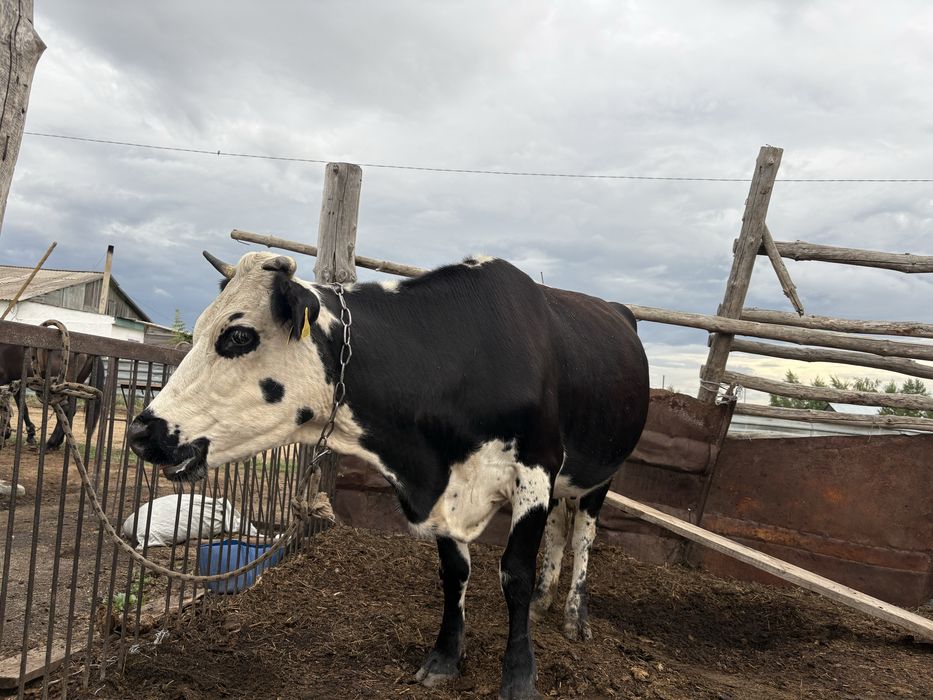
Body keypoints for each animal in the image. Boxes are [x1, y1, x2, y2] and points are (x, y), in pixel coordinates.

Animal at [127, 251, 649, 699]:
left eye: (238, 336)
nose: (140, 430)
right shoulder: (448, 493)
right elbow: (454, 572)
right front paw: (444, 659)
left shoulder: (535, 470)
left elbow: (514, 573)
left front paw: (520, 677)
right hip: (567, 479)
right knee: (561, 528)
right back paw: (544, 600)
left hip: (601, 473)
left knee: (583, 535)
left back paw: (574, 615)